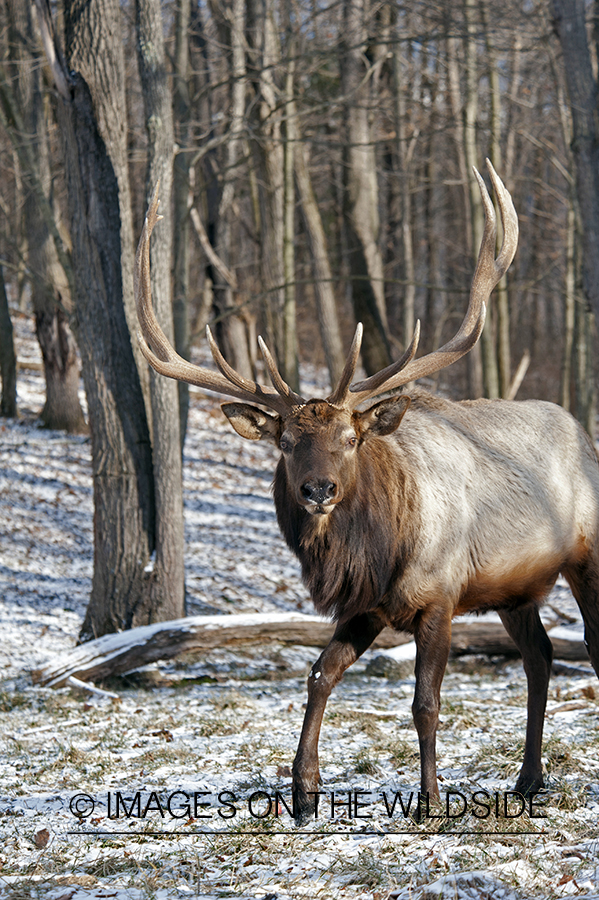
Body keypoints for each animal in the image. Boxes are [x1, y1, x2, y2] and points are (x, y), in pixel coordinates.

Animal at [135, 162, 599, 824]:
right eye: (285, 442)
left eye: (351, 437)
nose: (318, 488)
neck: (379, 553)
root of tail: (582, 433)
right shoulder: (364, 605)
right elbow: (318, 675)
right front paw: (304, 793)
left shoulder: (440, 596)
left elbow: (426, 703)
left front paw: (430, 801)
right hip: (515, 590)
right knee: (539, 657)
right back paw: (528, 779)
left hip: (586, 555)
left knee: (586, 646)